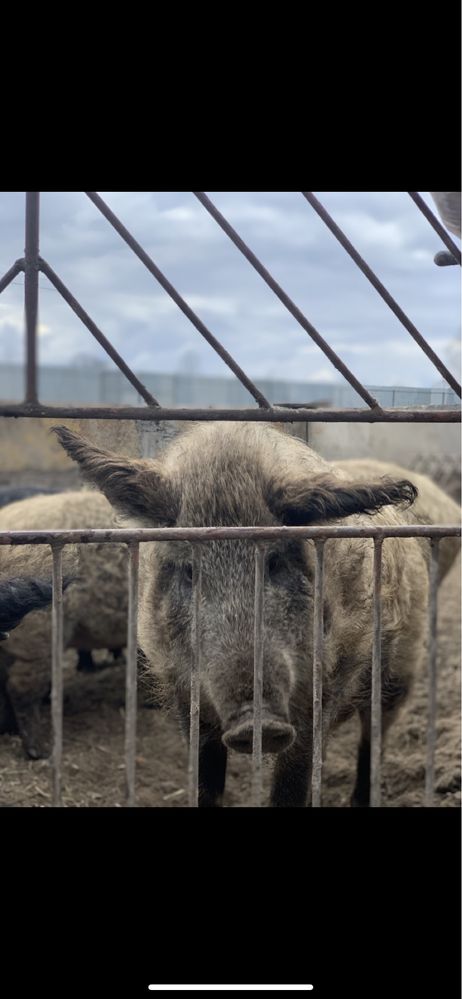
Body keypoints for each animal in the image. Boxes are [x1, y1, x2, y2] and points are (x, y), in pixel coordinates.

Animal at [53, 420, 458, 804]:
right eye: (189, 571)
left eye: (275, 562)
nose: (255, 722)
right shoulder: (180, 685)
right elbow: (205, 780)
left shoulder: (325, 682)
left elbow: (291, 783)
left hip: (403, 667)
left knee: (374, 736)